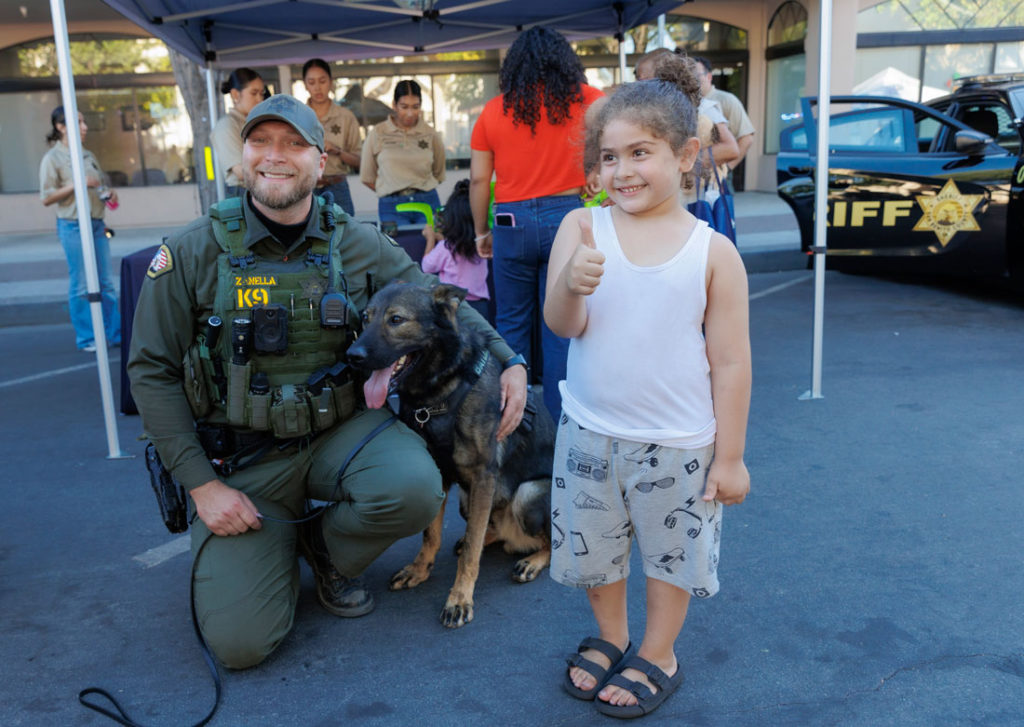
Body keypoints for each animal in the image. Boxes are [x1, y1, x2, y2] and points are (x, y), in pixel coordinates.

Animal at [348, 282, 557, 630]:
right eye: (366, 318)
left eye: (396, 319)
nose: (353, 356)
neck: (438, 392)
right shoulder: (440, 473)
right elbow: (431, 534)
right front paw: (420, 570)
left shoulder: (484, 475)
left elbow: (472, 551)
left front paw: (459, 599)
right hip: (466, 499)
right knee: (486, 526)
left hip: (526, 495)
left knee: (553, 542)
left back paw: (533, 560)